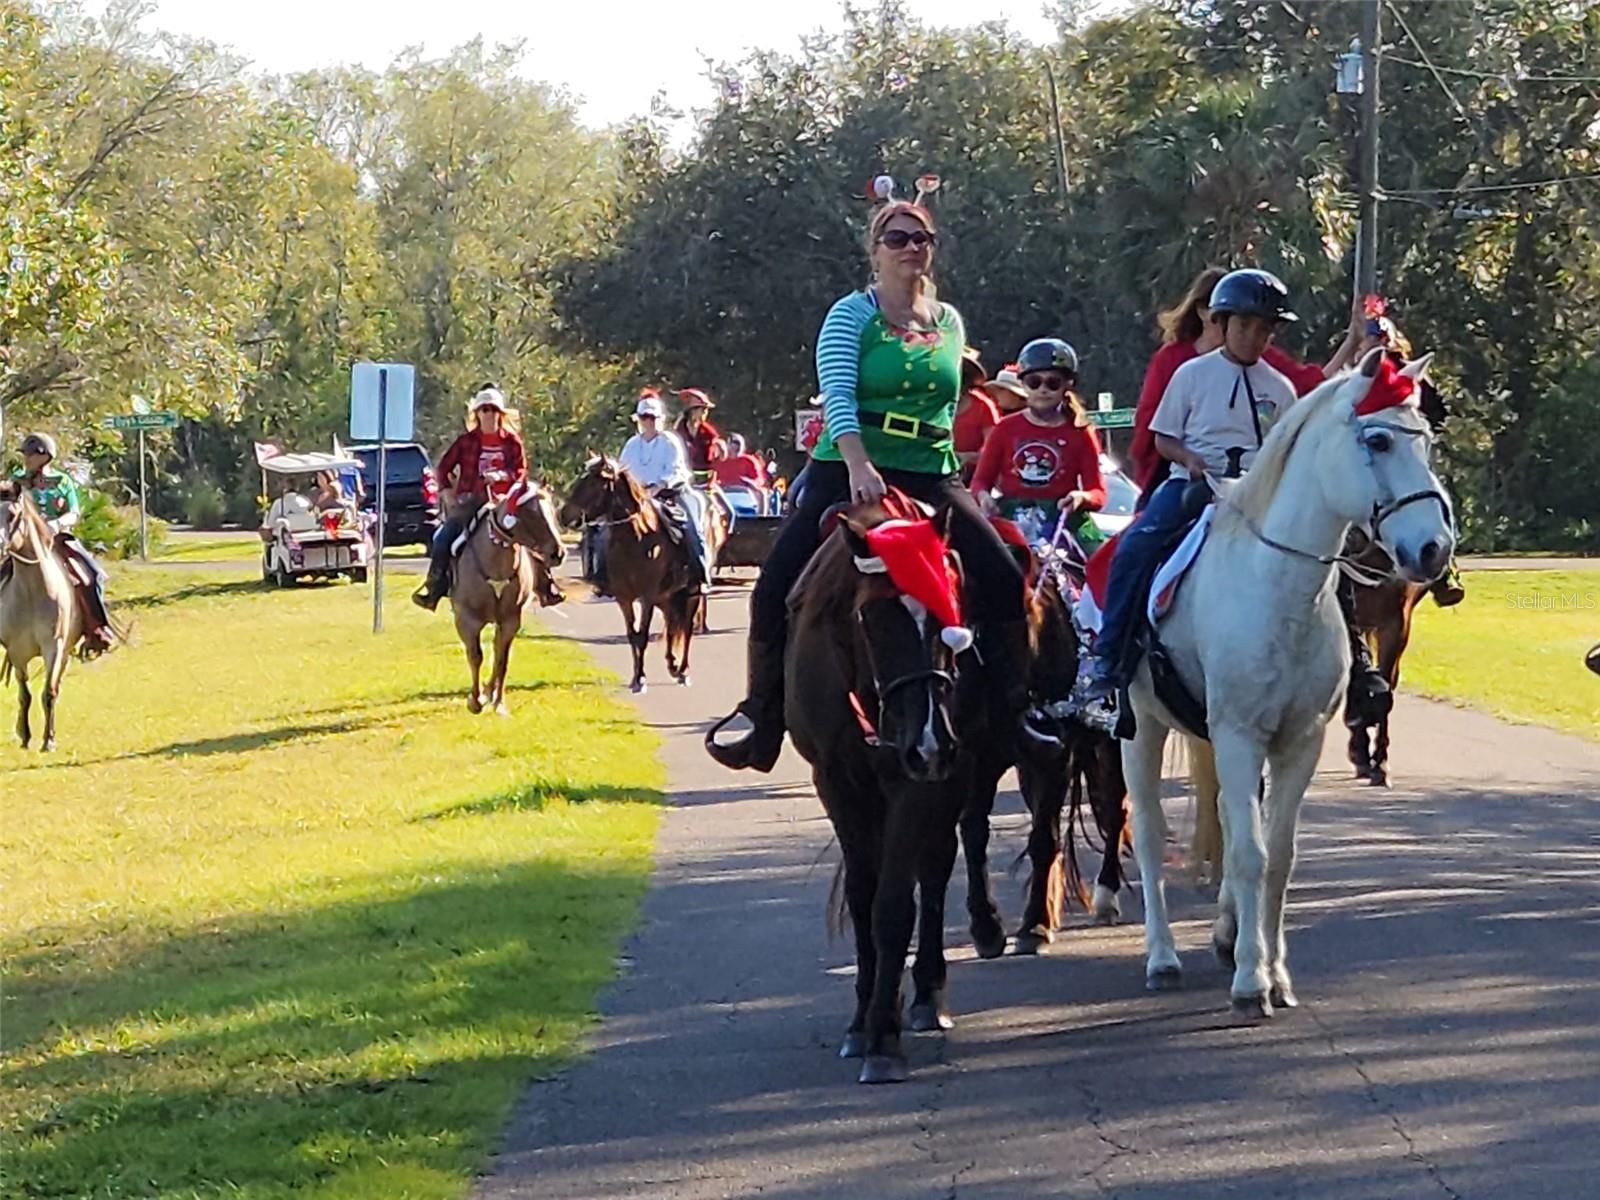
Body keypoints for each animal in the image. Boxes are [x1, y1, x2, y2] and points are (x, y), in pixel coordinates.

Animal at [0, 486, 81, 752]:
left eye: (13, 515)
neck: (32, 591)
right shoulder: (17, 651)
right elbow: (24, 695)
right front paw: (25, 736)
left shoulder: (53, 647)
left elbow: (49, 692)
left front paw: (49, 740)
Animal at [451, 480, 569, 720]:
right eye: (531, 513)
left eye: (552, 511)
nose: (558, 553)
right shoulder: (466, 619)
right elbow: (475, 656)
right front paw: (475, 701)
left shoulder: (510, 620)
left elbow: (502, 660)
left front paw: (498, 702)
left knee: (498, 651)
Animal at [556, 454, 720, 691]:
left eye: (594, 484)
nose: (563, 514)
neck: (637, 539)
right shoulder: (624, 597)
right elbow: (632, 635)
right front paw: (636, 677)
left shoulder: (647, 597)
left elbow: (642, 635)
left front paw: (641, 680)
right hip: (667, 597)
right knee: (671, 625)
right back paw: (672, 665)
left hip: (691, 593)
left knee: (687, 628)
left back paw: (683, 671)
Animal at [784, 502, 966, 1088]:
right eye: (872, 618)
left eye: (946, 615)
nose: (930, 743)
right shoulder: (836, 782)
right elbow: (864, 899)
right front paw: (862, 1023)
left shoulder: (915, 783)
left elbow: (892, 906)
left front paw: (884, 1039)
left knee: (934, 871)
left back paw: (928, 995)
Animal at [1120, 350, 1459, 1024]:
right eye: (1378, 440)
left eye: (1428, 440)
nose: (1435, 548)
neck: (1276, 585)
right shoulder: (1238, 734)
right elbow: (1250, 853)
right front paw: (1252, 982)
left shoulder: (1298, 740)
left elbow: (1276, 856)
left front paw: (1273, 971)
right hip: (1140, 728)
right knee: (1147, 831)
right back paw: (1162, 958)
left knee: (1224, 820)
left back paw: (1225, 934)